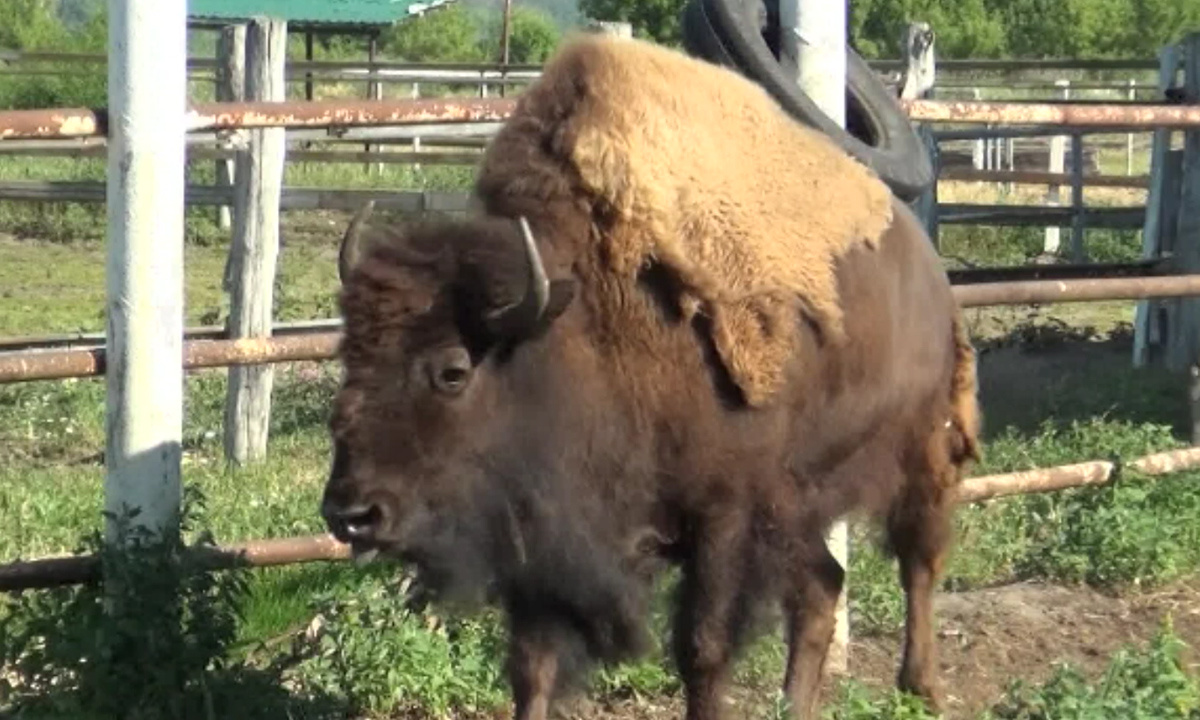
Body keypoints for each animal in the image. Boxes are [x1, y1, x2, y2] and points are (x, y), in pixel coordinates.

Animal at [324, 32, 979, 720]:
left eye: (453, 371)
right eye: (351, 356)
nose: (351, 514)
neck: (577, 324)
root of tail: (928, 269)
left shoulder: (725, 521)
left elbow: (702, 649)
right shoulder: (546, 541)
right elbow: (532, 664)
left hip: (920, 455)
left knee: (918, 561)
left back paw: (922, 685)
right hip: (800, 503)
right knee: (824, 588)